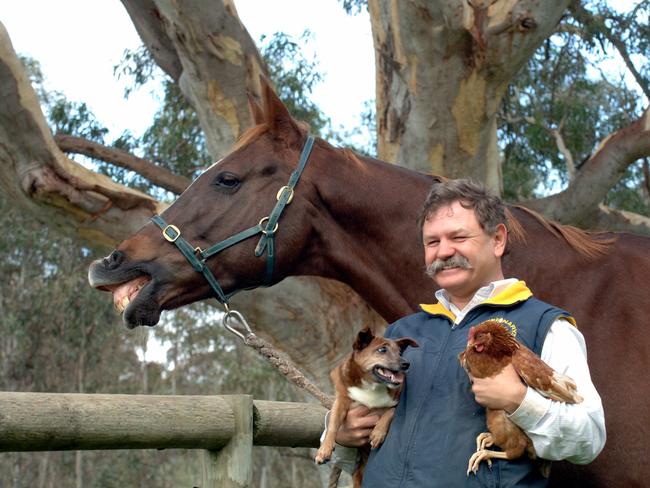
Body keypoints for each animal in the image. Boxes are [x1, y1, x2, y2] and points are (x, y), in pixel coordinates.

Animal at [316, 326, 418, 486]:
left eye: (400, 352)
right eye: (382, 350)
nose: (406, 364)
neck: (372, 386)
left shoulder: (395, 404)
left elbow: (390, 412)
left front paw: (378, 433)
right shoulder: (342, 401)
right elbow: (333, 425)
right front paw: (324, 449)